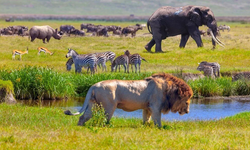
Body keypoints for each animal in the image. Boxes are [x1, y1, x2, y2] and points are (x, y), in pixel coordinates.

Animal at [64, 73, 193, 127]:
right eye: (187, 101)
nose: (187, 111)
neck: (169, 90)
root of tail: (94, 85)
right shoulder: (155, 106)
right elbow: (157, 120)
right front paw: (160, 129)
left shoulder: (147, 107)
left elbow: (146, 119)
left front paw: (145, 127)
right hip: (109, 106)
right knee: (105, 120)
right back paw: (108, 127)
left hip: (93, 105)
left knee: (83, 117)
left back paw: (80, 126)